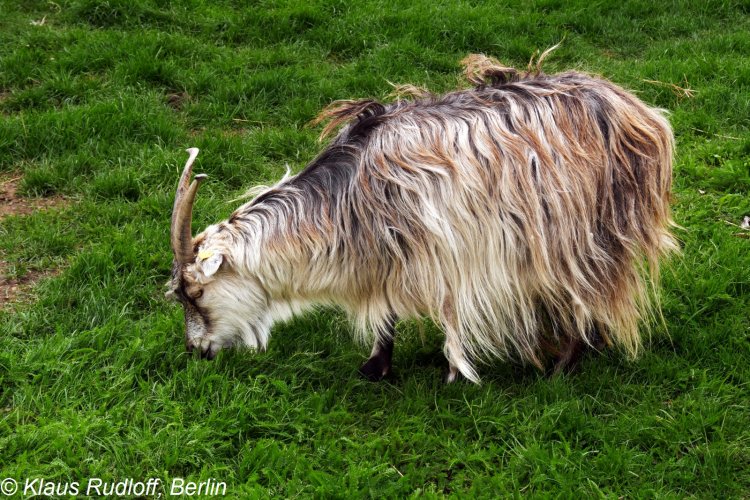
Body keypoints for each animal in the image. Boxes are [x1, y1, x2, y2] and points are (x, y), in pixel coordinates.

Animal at [166, 53, 677, 383]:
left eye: (195, 293)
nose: (196, 350)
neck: (344, 198)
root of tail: (643, 116)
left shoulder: (435, 244)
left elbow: (438, 312)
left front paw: (450, 371)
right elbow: (389, 309)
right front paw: (377, 365)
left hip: (582, 227)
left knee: (583, 287)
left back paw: (563, 368)